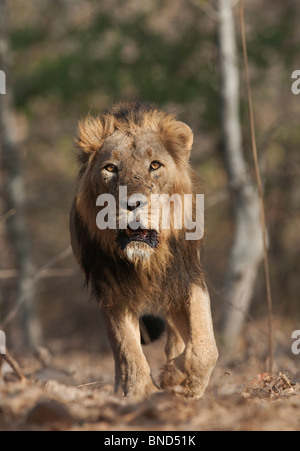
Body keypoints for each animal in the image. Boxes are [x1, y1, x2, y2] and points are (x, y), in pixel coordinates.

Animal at [71, 102, 219, 400]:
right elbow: (126, 348)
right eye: (110, 168)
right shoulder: (110, 286)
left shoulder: (187, 278)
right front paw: (140, 392)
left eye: (155, 165)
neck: (146, 260)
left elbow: (206, 348)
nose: (132, 204)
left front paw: (179, 381)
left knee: (176, 340)